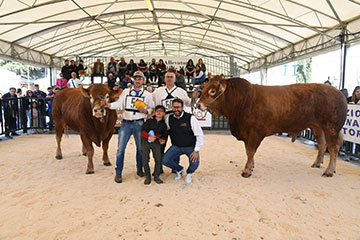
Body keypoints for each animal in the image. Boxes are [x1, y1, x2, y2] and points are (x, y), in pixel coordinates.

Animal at [198, 77, 348, 178]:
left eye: (212, 91)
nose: (199, 105)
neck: (243, 101)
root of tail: (338, 93)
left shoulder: (255, 132)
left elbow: (250, 151)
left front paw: (247, 170)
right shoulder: (247, 133)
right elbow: (248, 152)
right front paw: (251, 166)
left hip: (331, 127)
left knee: (333, 148)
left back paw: (329, 171)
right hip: (317, 127)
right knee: (322, 145)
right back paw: (317, 163)